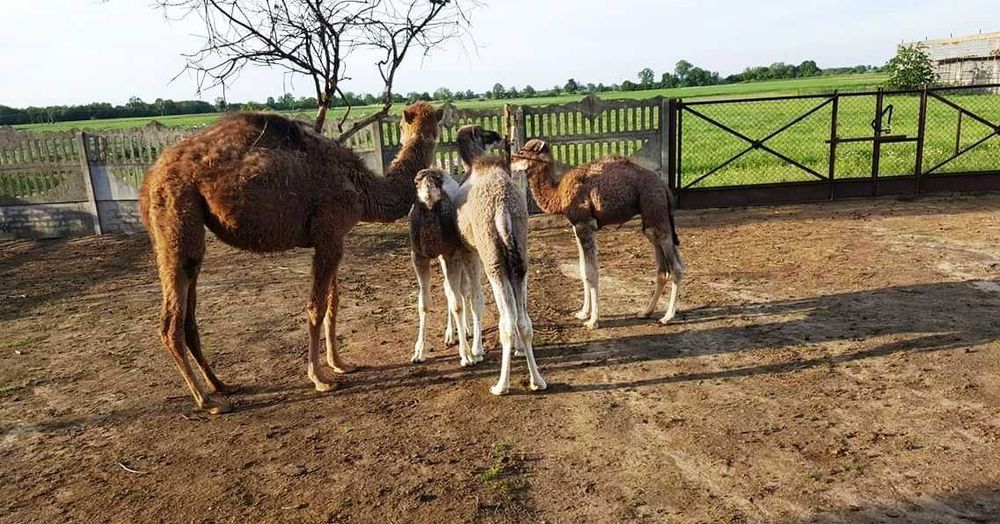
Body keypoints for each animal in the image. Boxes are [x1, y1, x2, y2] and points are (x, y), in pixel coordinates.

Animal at [140, 102, 443, 413]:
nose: (434, 135)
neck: (361, 187)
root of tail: (150, 177)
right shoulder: (329, 232)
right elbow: (317, 307)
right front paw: (320, 378)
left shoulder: (333, 237)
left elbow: (333, 303)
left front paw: (340, 364)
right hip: (176, 216)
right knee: (171, 323)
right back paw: (208, 401)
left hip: (190, 234)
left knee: (189, 316)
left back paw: (222, 386)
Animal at [511, 139, 684, 329]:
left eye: (522, 152)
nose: (510, 162)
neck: (558, 195)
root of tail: (664, 187)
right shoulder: (576, 227)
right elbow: (582, 270)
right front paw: (582, 313)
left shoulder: (585, 224)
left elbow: (591, 272)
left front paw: (593, 321)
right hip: (653, 221)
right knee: (663, 267)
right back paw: (645, 312)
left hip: (655, 212)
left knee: (676, 267)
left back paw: (667, 317)